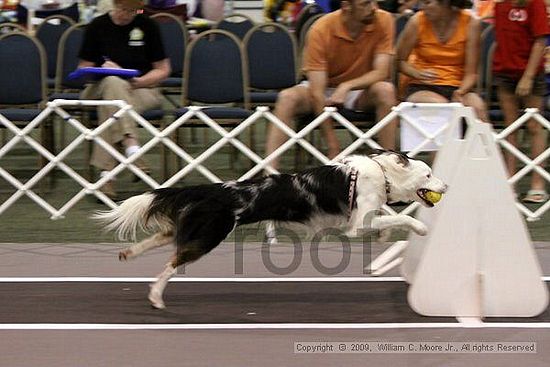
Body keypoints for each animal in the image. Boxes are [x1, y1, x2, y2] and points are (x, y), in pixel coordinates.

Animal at [94, 151, 448, 310]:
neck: (383, 175)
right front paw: (419, 228)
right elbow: (399, 219)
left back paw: (129, 253)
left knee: (161, 238)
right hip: (209, 235)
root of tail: (211, 189)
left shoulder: (364, 217)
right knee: (172, 262)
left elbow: (389, 216)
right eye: (429, 174)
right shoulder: (357, 224)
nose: (446, 186)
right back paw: (155, 296)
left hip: (196, 227)